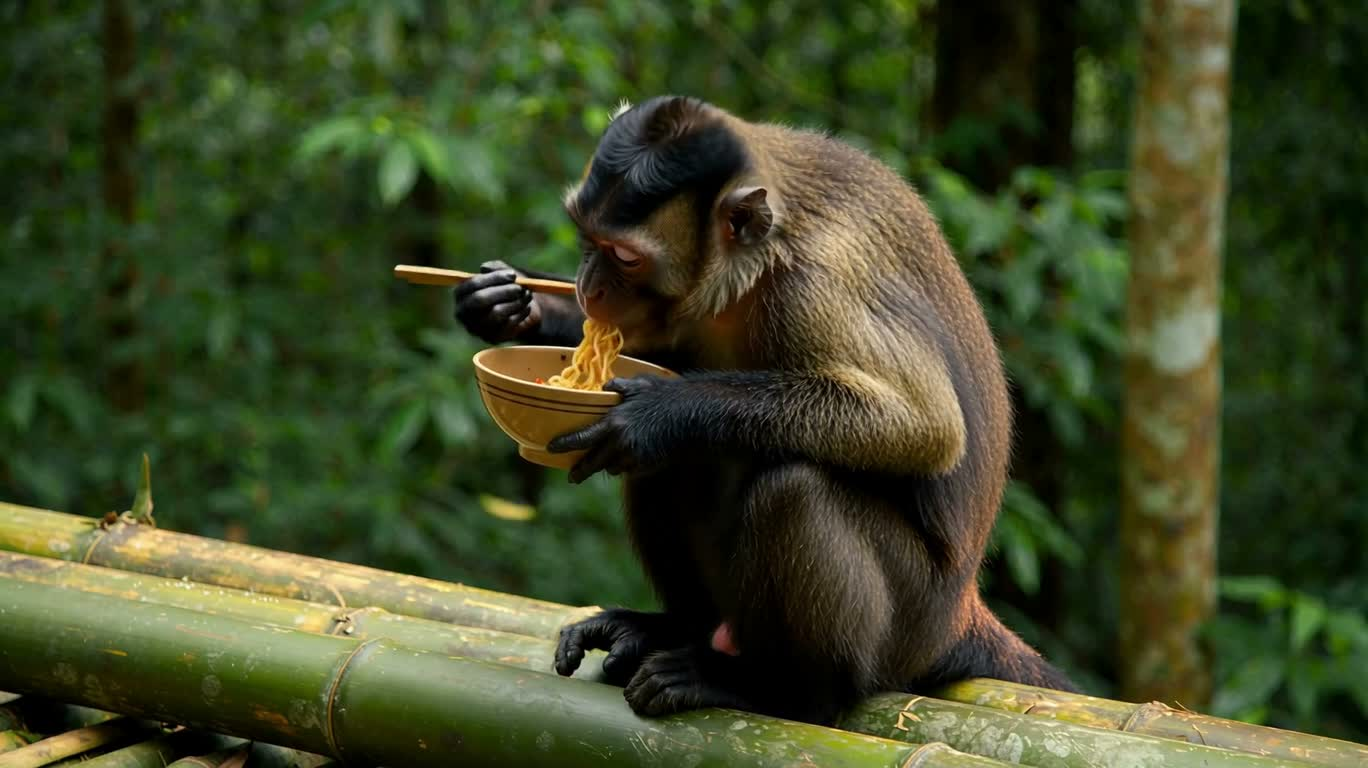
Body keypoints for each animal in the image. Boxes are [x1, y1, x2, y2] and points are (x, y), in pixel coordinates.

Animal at [452, 95, 1077, 726]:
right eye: (587, 239)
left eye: (624, 258)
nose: (587, 286)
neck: (755, 266)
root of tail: (960, 614)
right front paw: (510, 309)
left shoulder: (817, 288)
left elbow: (926, 429)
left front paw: (660, 413)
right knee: (675, 464)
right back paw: (671, 629)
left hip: (911, 624)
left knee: (793, 490)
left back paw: (785, 692)